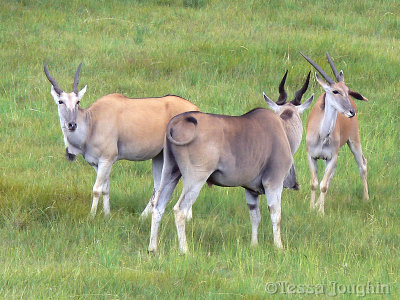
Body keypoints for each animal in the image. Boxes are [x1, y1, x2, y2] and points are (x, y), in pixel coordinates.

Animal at [43, 63, 198, 218]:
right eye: (60, 101)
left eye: (77, 102)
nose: (72, 125)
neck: (92, 121)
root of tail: (195, 109)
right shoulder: (98, 163)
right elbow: (105, 189)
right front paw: (107, 215)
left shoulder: (106, 159)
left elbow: (96, 189)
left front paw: (92, 216)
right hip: (160, 156)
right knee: (158, 186)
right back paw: (143, 216)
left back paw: (187, 216)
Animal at [148, 73, 314, 253]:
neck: (283, 128)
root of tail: (177, 122)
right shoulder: (273, 183)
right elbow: (276, 214)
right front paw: (279, 247)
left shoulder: (250, 190)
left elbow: (255, 216)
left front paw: (254, 244)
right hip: (195, 178)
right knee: (180, 210)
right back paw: (185, 250)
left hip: (170, 172)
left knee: (158, 206)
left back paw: (152, 248)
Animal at [300, 52, 368, 216]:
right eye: (335, 91)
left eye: (347, 90)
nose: (351, 112)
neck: (322, 136)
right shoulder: (311, 156)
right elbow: (314, 183)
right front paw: (312, 207)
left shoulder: (332, 157)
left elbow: (323, 185)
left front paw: (321, 212)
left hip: (354, 140)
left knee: (362, 164)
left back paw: (366, 198)